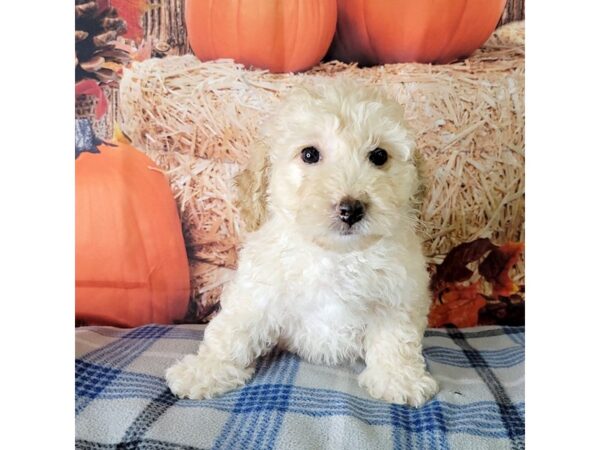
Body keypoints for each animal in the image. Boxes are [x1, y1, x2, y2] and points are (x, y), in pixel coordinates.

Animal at [166, 81, 438, 408]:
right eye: (309, 154)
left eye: (379, 156)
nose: (351, 209)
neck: (336, 254)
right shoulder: (258, 290)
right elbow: (232, 330)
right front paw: (204, 370)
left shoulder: (399, 294)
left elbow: (396, 338)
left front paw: (399, 378)